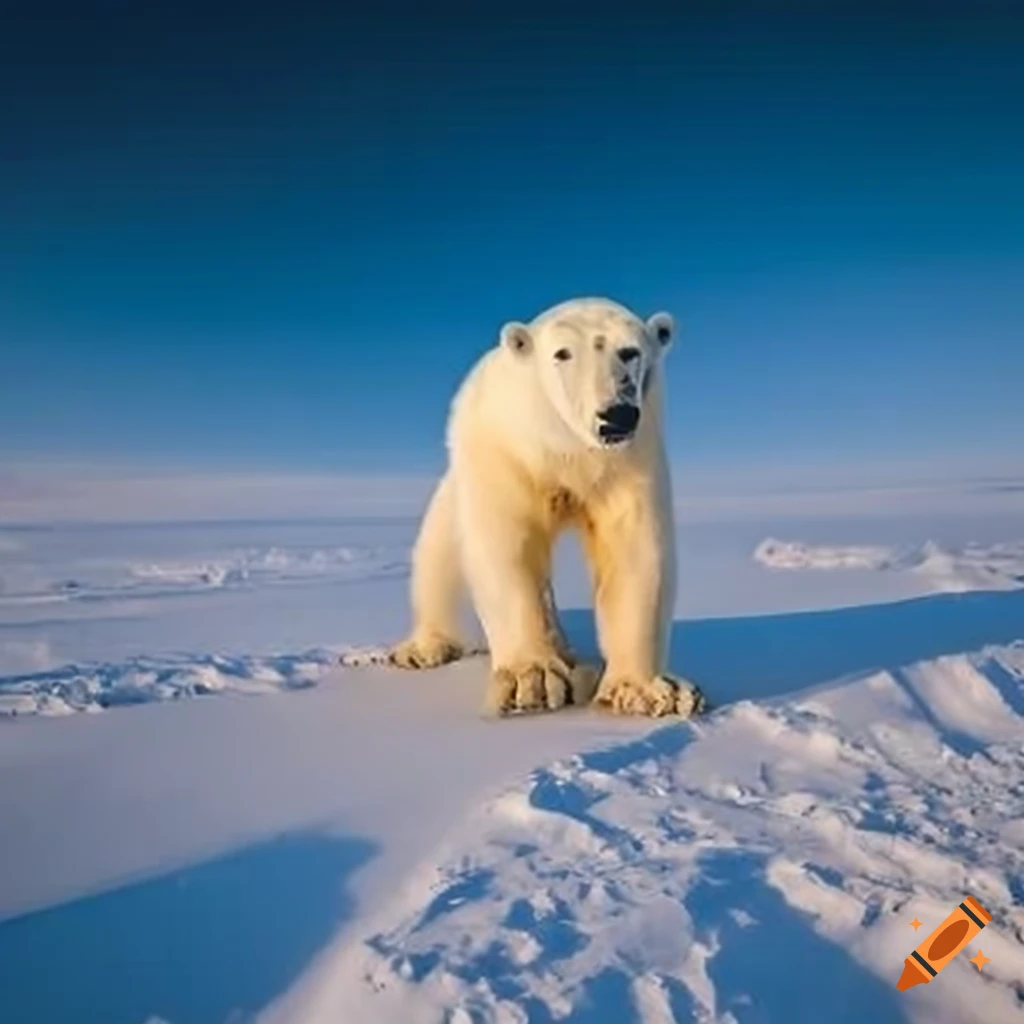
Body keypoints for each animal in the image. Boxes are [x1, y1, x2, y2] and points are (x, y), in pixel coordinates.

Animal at [388, 296, 705, 719]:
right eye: (562, 353)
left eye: (630, 351)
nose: (616, 414)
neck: (566, 446)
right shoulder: (508, 452)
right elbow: (509, 547)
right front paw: (533, 680)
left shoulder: (630, 460)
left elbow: (634, 551)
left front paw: (652, 692)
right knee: (439, 556)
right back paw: (424, 649)